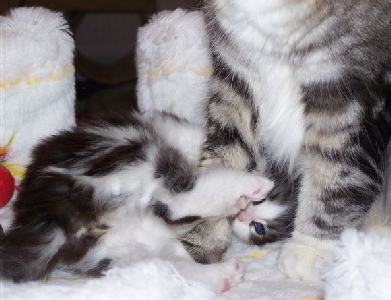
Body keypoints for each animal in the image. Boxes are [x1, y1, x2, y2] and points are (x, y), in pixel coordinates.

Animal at [0, 111, 276, 292]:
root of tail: (47, 206)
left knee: (168, 264)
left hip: (120, 250)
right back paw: (248, 186)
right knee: (175, 203)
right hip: (136, 161)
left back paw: (220, 276)